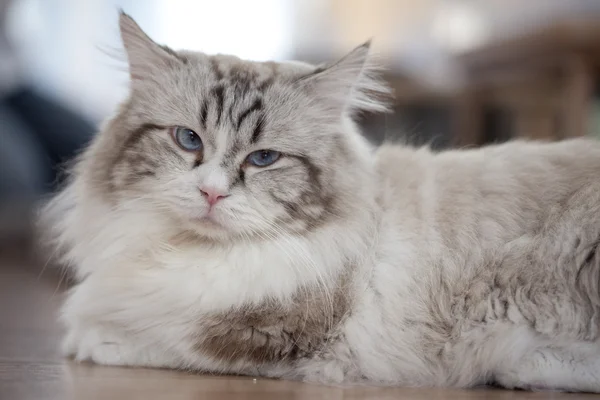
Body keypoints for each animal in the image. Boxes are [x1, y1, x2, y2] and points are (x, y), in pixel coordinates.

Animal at [42, 10, 600, 392]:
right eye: (188, 140)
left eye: (264, 158)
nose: (212, 192)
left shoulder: (276, 334)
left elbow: (158, 338)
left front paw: (85, 338)